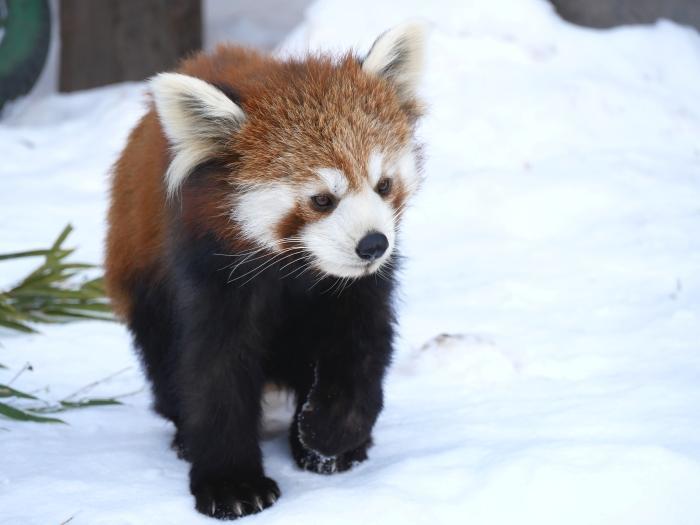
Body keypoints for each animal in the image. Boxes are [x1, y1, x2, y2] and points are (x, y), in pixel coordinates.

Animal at [104, 25, 426, 520]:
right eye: (321, 199)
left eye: (384, 185)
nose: (373, 244)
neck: (296, 270)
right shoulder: (209, 272)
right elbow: (214, 370)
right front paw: (231, 484)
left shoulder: (362, 288)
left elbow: (362, 351)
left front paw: (328, 436)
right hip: (142, 276)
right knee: (161, 361)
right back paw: (184, 436)